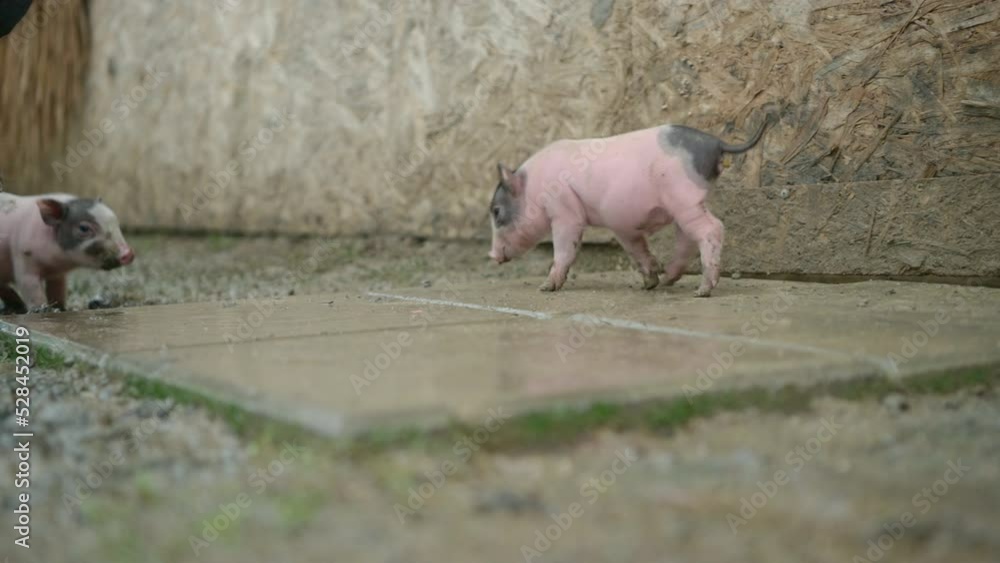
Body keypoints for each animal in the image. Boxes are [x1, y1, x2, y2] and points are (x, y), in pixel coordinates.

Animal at [0, 192, 135, 313]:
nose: (128, 253)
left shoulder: (57, 274)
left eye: (116, 223)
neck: (53, 262)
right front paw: (42, 310)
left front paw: (61, 309)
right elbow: (31, 288)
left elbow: (58, 290)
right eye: (84, 228)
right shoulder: (23, 257)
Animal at [488, 114, 773, 297]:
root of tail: (717, 143)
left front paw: (545, 288)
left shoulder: (564, 210)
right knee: (687, 238)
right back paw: (668, 279)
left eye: (496, 211)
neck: (535, 187)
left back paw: (701, 291)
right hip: (686, 204)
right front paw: (649, 283)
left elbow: (565, 248)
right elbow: (637, 250)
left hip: (684, 197)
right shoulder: (621, 224)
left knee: (713, 228)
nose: (491, 255)